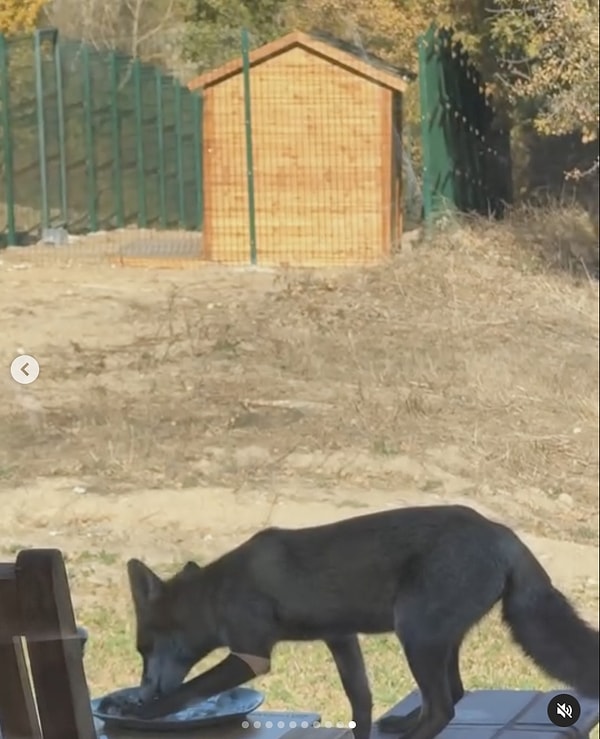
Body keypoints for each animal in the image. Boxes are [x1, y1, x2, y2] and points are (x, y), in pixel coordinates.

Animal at [109, 506, 600, 736]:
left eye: (142, 649)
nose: (140, 691)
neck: (216, 594)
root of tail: (503, 533)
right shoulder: (341, 637)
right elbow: (360, 702)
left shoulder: (252, 654)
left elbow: (187, 691)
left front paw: (145, 713)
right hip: (435, 639)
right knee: (455, 695)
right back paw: (404, 724)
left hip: (415, 632)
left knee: (444, 707)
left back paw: (413, 737)